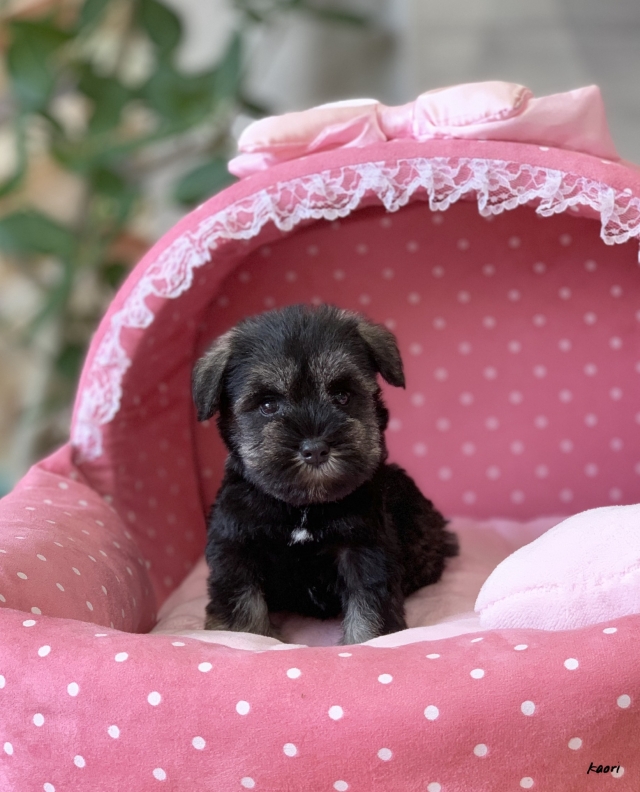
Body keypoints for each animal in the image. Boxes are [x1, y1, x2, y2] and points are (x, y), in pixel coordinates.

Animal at [193, 304, 458, 644]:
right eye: (267, 404)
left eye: (342, 396)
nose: (315, 448)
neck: (303, 508)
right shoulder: (236, 547)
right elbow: (242, 607)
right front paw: (248, 639)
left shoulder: (363, 548)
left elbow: (368, 608)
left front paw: (366, 641)